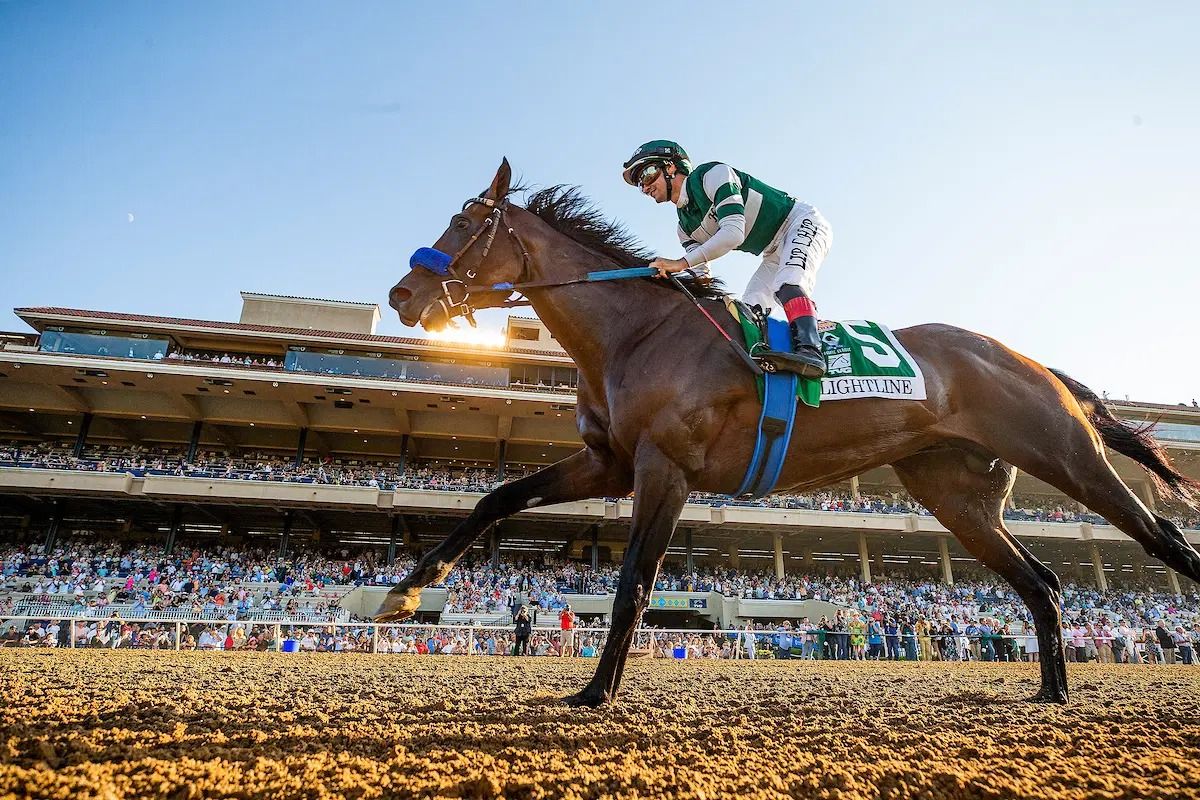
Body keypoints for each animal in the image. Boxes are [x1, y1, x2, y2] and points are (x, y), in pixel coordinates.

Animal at [381, 158, 1200, 705]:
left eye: (464, 225)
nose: (401, 295)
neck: (635, 332)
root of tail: (1031, 361)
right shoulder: (609, 464)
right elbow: (496, 498)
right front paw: (406, 592)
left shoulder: (665, 468)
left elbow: (634, 579)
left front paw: (595, 693)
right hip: (957, 497)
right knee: (1042, 581)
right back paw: (1052, 692)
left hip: (1063, 453)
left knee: (1163, 539)